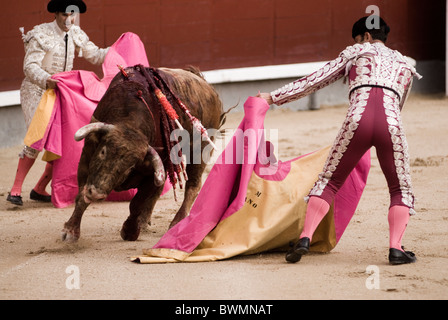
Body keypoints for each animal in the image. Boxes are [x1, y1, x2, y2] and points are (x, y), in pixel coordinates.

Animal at [61, 66, 226, 241]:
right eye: (103, 151)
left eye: (131, 166)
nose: (97, 194)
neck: (130, 123)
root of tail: (206, 86)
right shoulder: (87, 157)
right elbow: (81, 196)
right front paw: (71, 230)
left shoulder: (153, 171)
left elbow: (136, 203)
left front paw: (130, 231)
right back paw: (145, 220)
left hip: (201, 150)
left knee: (193, 185)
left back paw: (177, 222)